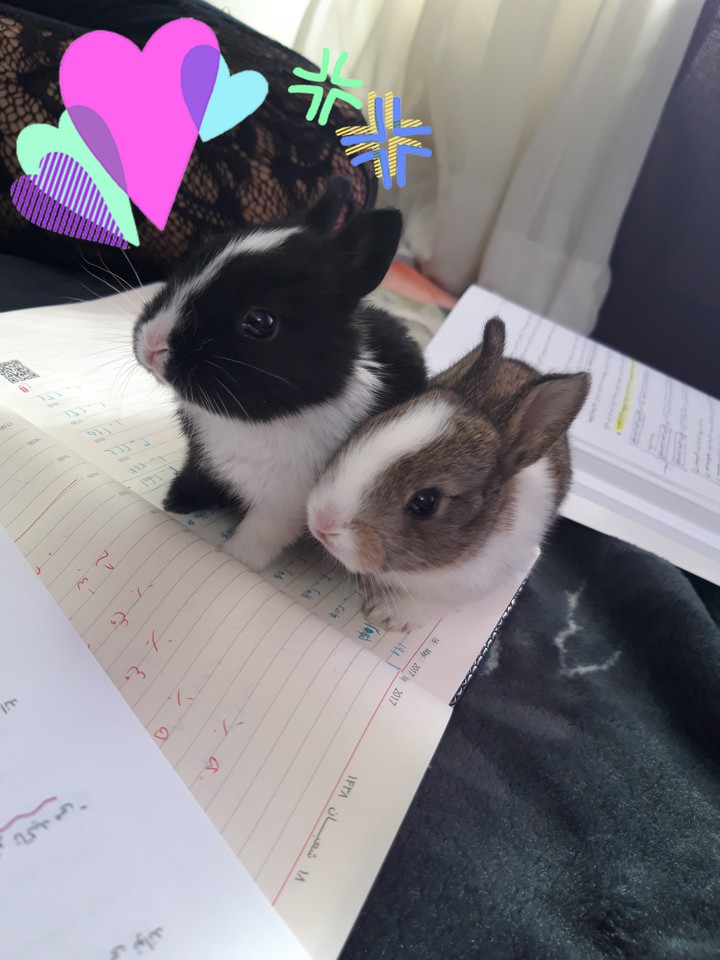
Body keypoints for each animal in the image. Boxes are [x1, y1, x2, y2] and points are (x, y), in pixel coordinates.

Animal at [132, 177, 427, 571]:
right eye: (193, 265)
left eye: (260, 322)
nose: (152, 345)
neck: (244, 422)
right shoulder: (202, 456)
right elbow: (197, 476)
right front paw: (175, 502)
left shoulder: (285, 503)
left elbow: (258, 537)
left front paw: (232, 560)